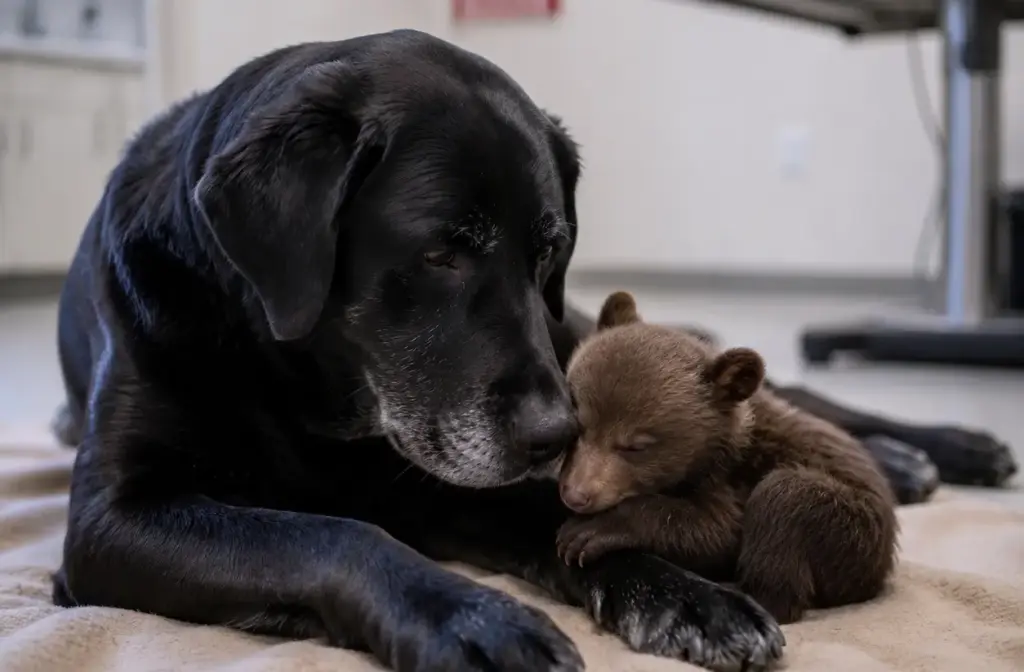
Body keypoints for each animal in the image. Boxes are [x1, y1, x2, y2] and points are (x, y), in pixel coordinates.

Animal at [555, 290, 899, 624]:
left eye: (636, 446)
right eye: (577, 425)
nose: (576, 494)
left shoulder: (731, 479)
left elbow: (717, 531)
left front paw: (588, 532)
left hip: (854, 533)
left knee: (784, 498)